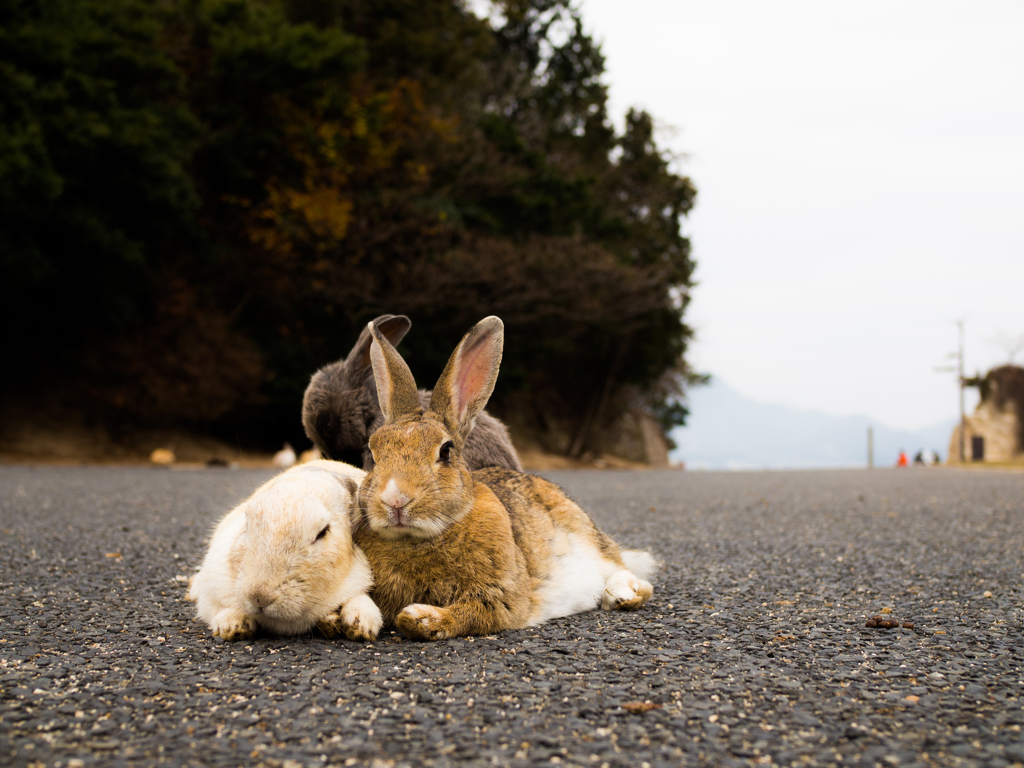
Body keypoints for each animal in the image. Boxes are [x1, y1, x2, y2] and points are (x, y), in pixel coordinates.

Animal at [185, 460, 380, 638]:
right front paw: (234, 626)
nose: (259, 597)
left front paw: (361, 625)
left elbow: (359, 597)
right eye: (247, 522)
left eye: (323, 532)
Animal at [352, 315, 655, 638]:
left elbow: (470, 613)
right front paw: (354, 620)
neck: (419, 538)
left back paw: (621, 593)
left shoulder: (501, 597)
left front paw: (419, 615)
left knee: (628, 573)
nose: (394, 499)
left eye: (445, 451)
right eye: (373, 452)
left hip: (587, 535)